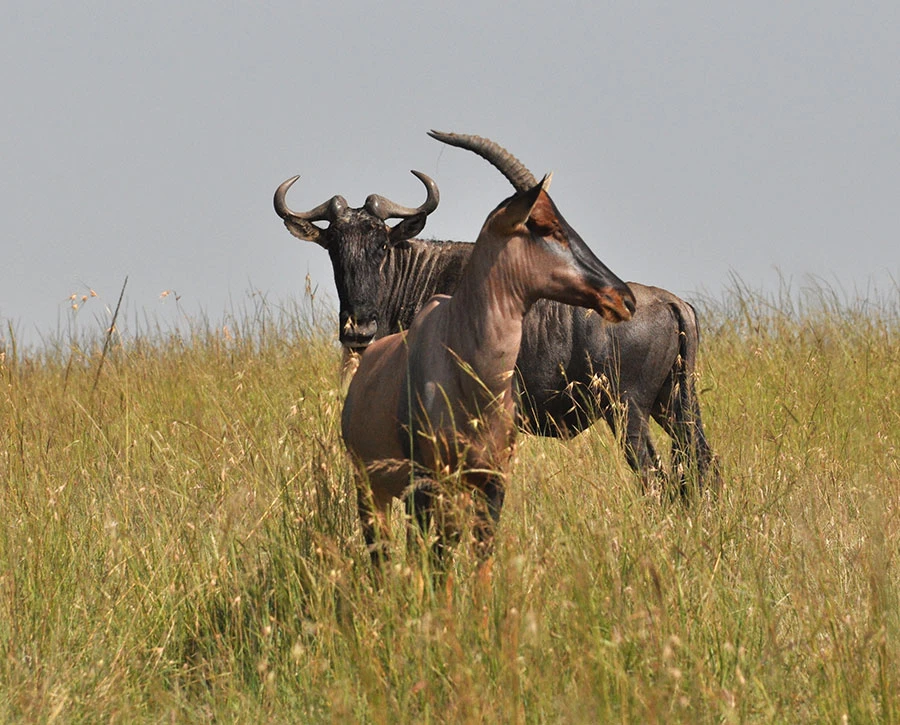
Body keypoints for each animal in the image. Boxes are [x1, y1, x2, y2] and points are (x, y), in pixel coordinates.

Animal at [341, 176, 635, 565]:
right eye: (546, 226)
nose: (623, 298)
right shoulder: (432, 482)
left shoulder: (493, 481)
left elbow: (481, 555)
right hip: (372, 487)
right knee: (383, 551)